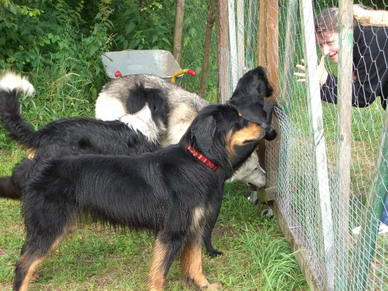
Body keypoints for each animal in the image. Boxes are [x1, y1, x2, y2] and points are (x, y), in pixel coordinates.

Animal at [14, 102, 270, 290]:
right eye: (239, 120)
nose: (266, 126)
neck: (196, 162)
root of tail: (40, 165)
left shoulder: (194, 227)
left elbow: (195, 262)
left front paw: (204, 285)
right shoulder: (171, 232)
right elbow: (160, 272)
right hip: (50, 226)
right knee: (22, 265)